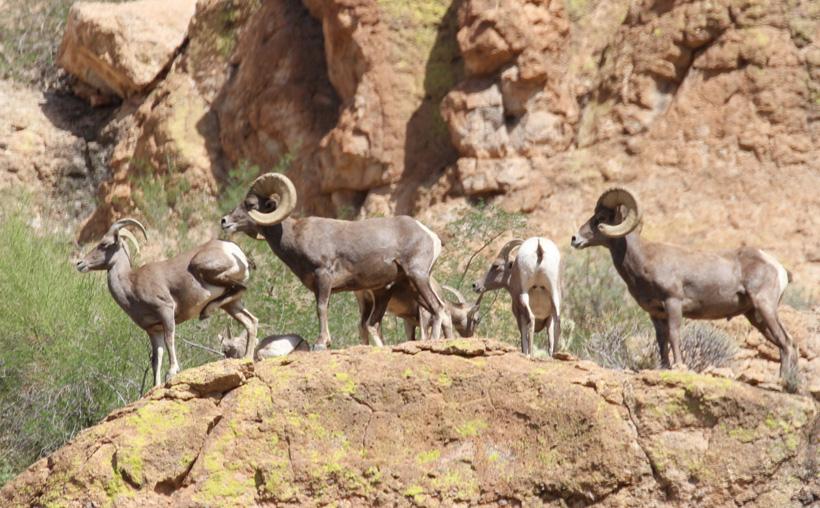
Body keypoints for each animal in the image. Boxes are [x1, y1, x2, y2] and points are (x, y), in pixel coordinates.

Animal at [76, 218, 258, 387]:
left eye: (104, 244)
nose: (80, 263)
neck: (131, 285)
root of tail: (233, 250)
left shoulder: (166, 311)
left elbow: (170, 339)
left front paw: (172, 372)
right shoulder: (153, 330)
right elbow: (157, 359)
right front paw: (155, 386)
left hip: (202, 267)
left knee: (242, 287)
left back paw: (207, 311)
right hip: (232, 306)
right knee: (251, 321)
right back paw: (247, 358)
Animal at [220, 172, 453, 349]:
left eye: (250, 204)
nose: (224, 221)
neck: (294, 237)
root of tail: (429, 235)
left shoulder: (324, 277)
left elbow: (321, 308)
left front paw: (322, 342)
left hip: (417, 276)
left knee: (438, 308)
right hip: (408, 285)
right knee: (440, 311)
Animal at [570, 187, 798, 384]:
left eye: (601, 218)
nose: (574, 239)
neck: (644, 259)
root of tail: (777, 267)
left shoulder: (673, 303)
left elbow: (674, 334)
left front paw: (679, 366)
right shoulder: (656, 313)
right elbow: (661, 340)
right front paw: (664, 367)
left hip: (765, 307)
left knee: (786, 341)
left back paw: (782, 382)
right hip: (755, 316)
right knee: (781, 342)